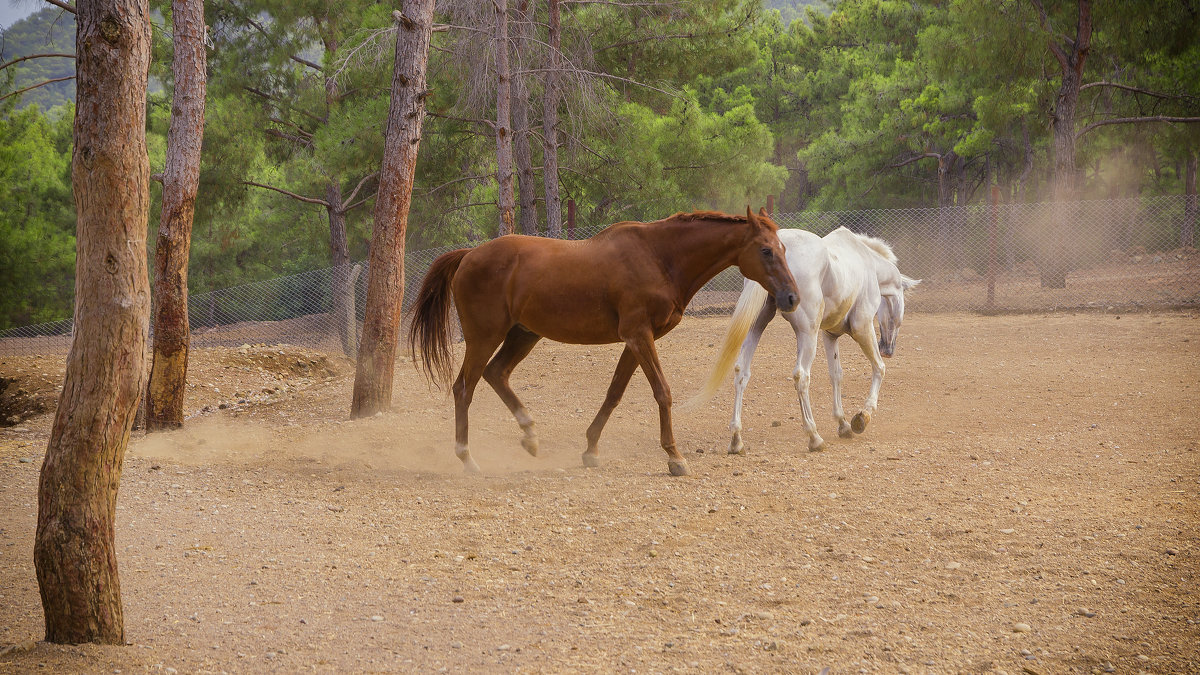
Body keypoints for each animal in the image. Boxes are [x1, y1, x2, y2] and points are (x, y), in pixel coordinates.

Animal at [410, 207, 796, 475]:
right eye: (766, 251)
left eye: (783, 248)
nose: (792, 298)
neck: (660, 257)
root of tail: (469, 255)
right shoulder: (639, 336)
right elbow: (662, 392)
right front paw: (675, 457)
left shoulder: (636, 340)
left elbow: (614, 393)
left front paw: (591, 449)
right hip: (484, 338)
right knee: (464, 387)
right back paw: (467, 459)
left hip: (524, 334)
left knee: (497, 374)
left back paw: (530, 435)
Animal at [691, 225, 921, 451]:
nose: (888, 350)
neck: (867, 263)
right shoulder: (862, 328)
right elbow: (879, 368)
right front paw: (862, 417)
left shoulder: (830, 335)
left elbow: (836, 374)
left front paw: (843, 425)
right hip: (807, 334)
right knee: (801, 376)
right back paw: (814, 437)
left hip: (756, 326)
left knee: (742, 372)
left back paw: (736, 439)